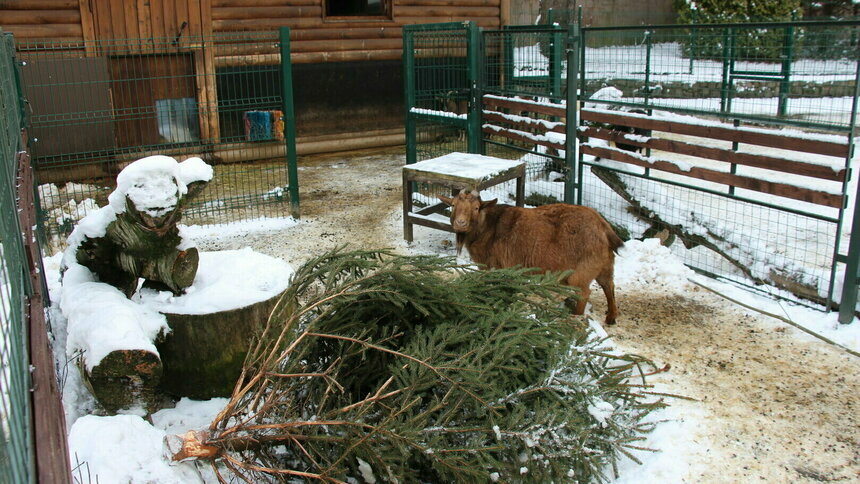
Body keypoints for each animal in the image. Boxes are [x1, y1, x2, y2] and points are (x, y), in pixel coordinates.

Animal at [440, 190, 620, 326]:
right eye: (453, 205)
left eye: (476, 208)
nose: (460, 223)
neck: (489, 227)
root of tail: (604, 229)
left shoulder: (502, 266)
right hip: (604, 265)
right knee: (609, 286)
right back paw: (611, 317)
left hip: (582, 270)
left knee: (584, 292)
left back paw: (576, 316)